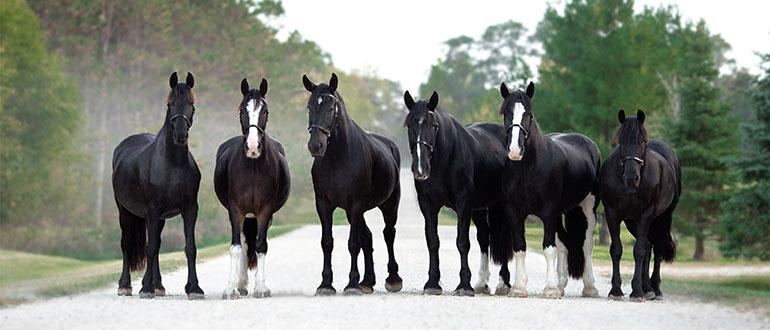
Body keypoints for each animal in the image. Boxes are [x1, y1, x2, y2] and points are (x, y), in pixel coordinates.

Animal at [111, 72, 202, 300]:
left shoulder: (190, 209)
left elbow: (190, 247)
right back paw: (126, 285)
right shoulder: (152, 209)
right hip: (124, 210)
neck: (174, 163)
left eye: (192, 104)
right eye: (170, 104)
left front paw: (194, 288)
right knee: (127, 243)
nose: (180, 134)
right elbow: (149, 247)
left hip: (158, 217)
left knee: (157, 243)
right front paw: (145, 288)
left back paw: (159, 285)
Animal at [302, 73, 402, 296]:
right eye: (309, 107)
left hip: (389, 205)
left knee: (388, 234)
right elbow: (327, 242)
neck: (339, 157)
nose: (316, 146)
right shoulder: (324, 205)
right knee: (368, 237)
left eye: (331, 108)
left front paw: (352, 284)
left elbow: (353, 244)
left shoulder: (356, 204)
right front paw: (326, 284)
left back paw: (393, 279)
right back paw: (368, 281)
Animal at [400, 89, 512, 296]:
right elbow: (433, 241)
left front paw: (464, 285)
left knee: (507, 239)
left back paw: (503, 284)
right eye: (409, 125)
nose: (420, 169)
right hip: (479, 208)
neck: (445, 159)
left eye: (434, 125)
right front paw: (432, 283)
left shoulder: (463, 204)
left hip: (501, 205)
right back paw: (482, 283)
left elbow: (462, 242)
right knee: (484, 237)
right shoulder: (428, 205)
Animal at [496, 82, 604, 300]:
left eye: (529, 114)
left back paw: (589, 288)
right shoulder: (515, 212)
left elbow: (548, 249)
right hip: (561, 213)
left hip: (588, 206)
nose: (515, 150)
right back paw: (562, 284)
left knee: (587, 243)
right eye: (506, 113)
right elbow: (520, 248)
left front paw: (550, 289)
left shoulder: (547, 212)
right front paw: (519, 288)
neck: (527, 169)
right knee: (563, 243)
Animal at [600, 109, 680, 300]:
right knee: (648, 246)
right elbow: (617, 250)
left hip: (664, 217)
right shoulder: (612, 214)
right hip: (632, 222)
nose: (631, 177)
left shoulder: (646, 214)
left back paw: (655, 288)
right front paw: (616, 290)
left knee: (656, 248)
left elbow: (638, 251)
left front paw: (636, 291)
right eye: (620, 141)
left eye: (643, 142)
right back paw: (647, 287)